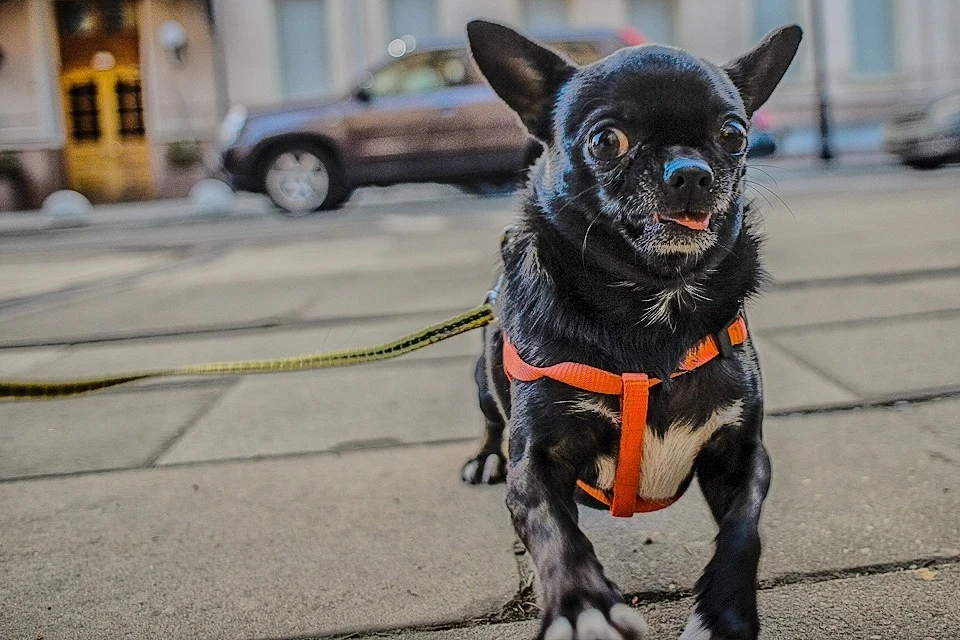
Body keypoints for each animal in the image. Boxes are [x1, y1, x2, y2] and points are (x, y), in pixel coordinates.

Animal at [460, 20, 801, 640]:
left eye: (733, 133)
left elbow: (745, 532)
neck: (656, 303)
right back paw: (485, 458)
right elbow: (555, 532)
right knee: (492, 420)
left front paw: (725, 613)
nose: (689, 172)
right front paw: (581, 608)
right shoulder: (538, 463)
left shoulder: (742, 455)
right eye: (606, 141)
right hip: (482, 373)